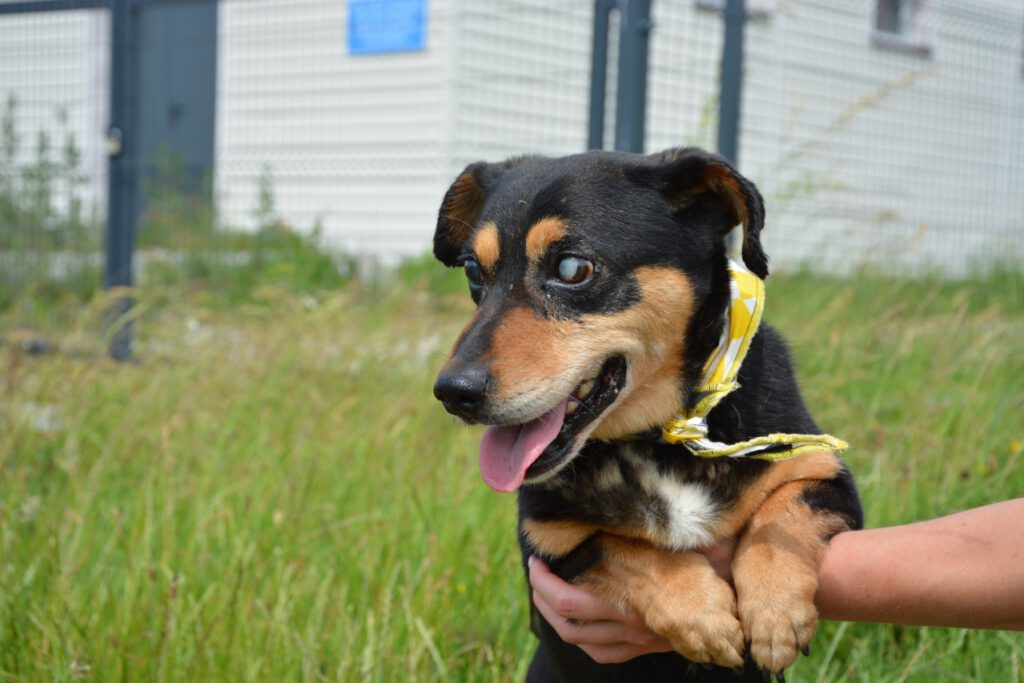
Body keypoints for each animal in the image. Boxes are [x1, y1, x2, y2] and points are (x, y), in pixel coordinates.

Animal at [428, 149, 860, 683]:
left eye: (571, 267)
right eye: (473, 272)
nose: (452, 392)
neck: (658, 436)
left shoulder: (821, 468)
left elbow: (786, 512)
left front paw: (776, 615)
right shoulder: (550, 543)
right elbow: (624, 548)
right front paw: (703, 616)